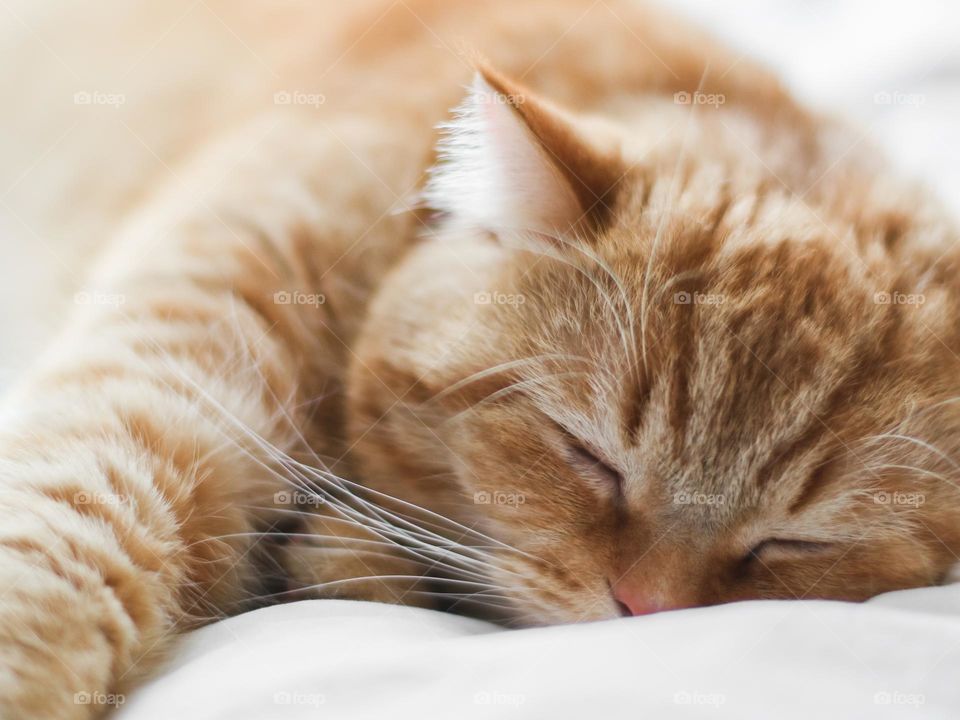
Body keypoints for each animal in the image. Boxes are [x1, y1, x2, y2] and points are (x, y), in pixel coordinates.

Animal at [1, 0, 960, 716]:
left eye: (797, 542)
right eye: (588, 456)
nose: (645, 612)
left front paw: (337, 555)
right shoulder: (170, 374)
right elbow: (62, 543)